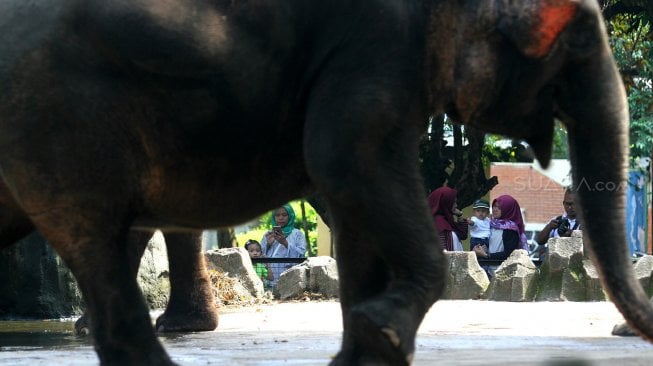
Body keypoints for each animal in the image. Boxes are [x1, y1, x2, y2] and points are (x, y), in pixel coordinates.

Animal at [0, 0, 648, 366]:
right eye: (577, 49)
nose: (628, 328)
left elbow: (351, 181)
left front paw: (368, 343)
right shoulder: (373, 50)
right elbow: (349, 167)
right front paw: (380, 335)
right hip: (64, 116)